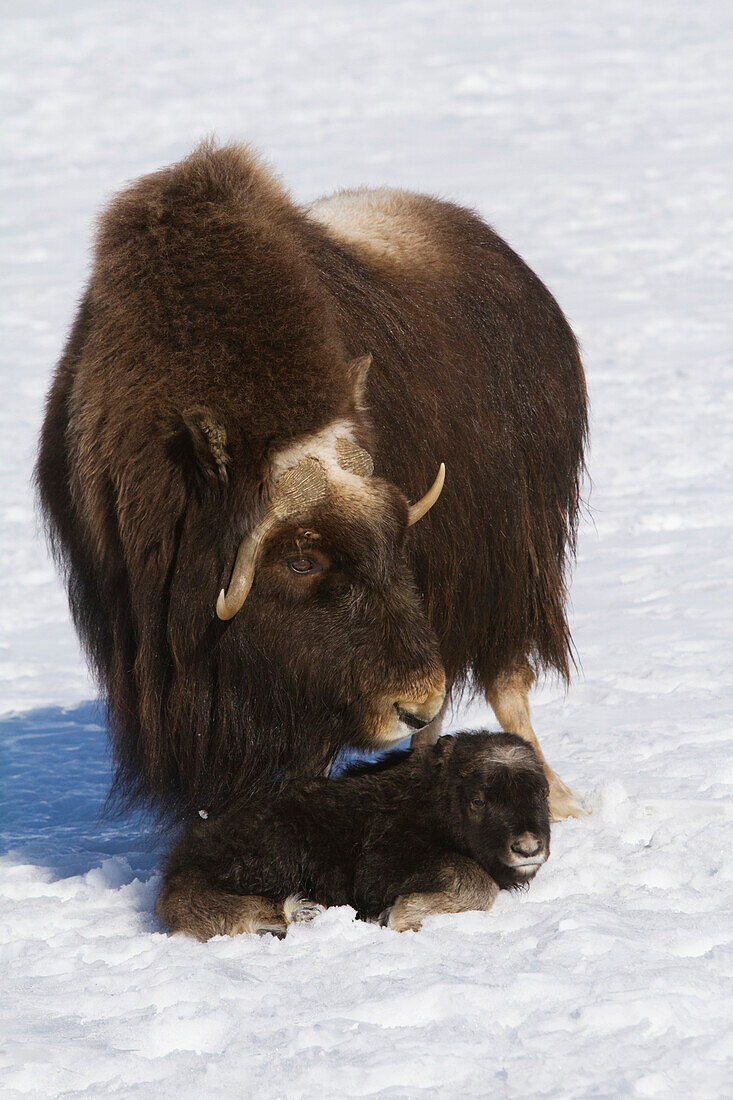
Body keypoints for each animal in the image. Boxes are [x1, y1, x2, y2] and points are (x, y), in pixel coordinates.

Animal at [157, 730, 550, 937]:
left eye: (542, 794)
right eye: (479, 800)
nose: (528, 848)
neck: (436, 801)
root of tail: (184, 855)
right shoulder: (385, 865)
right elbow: (476, 880)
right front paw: (400, 916)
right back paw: (301, 913)